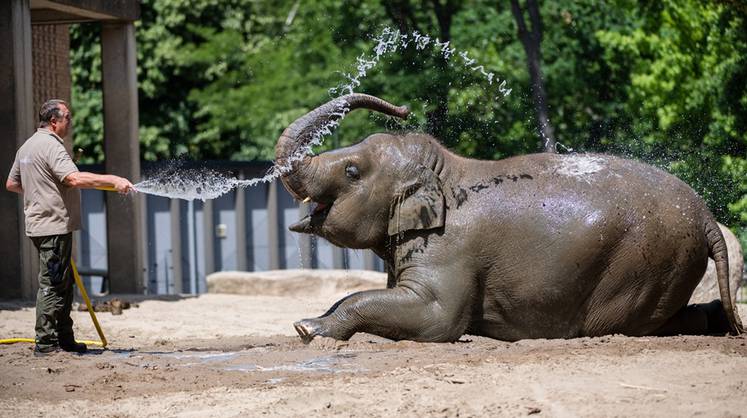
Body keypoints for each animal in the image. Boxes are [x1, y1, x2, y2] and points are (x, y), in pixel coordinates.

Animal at [274, 92, 744, 342]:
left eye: (351, 171)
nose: (404, 109)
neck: (442, 171)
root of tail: (706, 215)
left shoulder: (449, 247)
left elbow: (437, 318)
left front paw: (307, 328)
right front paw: (308, 322)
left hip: (643, 263)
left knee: (633, 323)